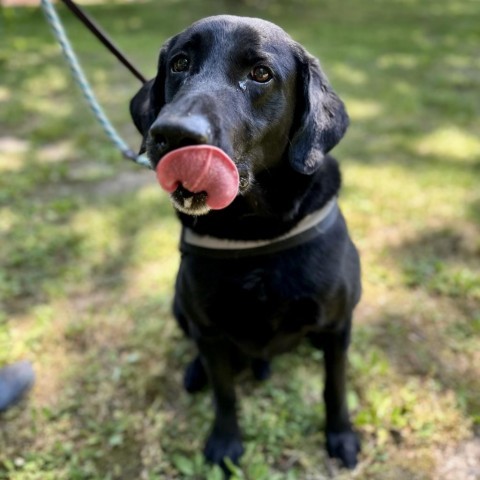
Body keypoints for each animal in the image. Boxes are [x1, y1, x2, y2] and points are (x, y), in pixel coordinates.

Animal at [129, 15, 362, 472]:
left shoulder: (337, 326)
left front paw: (341, 436)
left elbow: (335, 387)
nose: (172, 134)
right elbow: (224, 393)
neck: (253, 230)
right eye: (180, 63)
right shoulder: (210, 331)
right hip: (179, 304)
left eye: (261, 74)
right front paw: (225, 443)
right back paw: (195, 372)